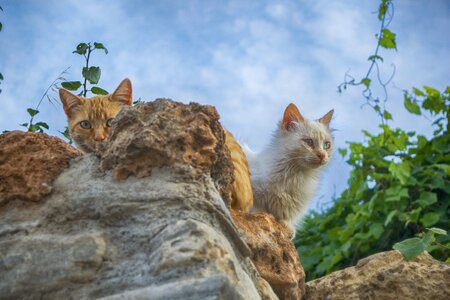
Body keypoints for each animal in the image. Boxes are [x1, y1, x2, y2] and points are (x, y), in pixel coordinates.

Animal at [246, 103, 334, 234]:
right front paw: (262, 215)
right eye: (309, 142)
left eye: (327, 145)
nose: (322, 155)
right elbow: (257, 207)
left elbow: (287, 219)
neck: (295, 176)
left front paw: (287, 227)